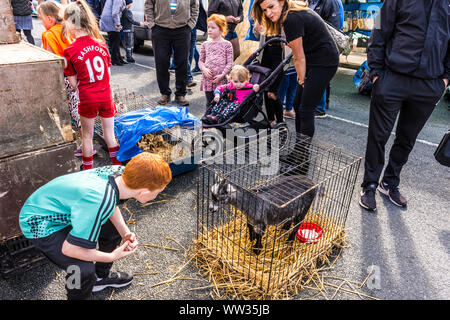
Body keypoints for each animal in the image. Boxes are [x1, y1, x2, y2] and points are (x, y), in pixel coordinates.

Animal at [193, 131, 362, 298]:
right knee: (290, 219)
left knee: (298, 224)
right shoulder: (250, 218)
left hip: (304, 208)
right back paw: (284, 228)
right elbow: (249, 227)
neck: (250, 200)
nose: (210, 208)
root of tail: (314, 185)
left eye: (218, 197)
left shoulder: (262, 222)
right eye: (212, 195)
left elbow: (260, 235)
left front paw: (257, 249)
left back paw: (289, 240)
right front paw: (251, 238)